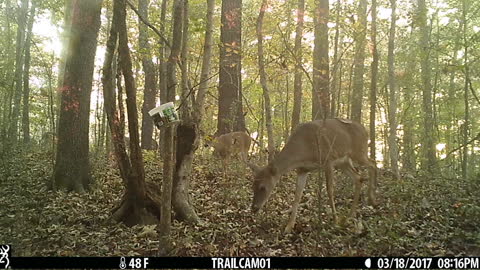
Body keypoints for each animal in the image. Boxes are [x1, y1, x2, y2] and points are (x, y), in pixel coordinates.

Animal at [248, 118, 378, 234]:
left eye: (263, 187)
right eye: (252, 186)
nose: (254, 208)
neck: (303, 150)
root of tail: (365, 130)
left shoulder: (328, 160)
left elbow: (330, 190)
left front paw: (335, 221)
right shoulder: (302, 170)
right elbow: (297, 196)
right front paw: (289, 227)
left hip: (359, 152)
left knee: (373, 163)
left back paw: (372, 199)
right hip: (343, 162)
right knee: (359, 178)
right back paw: (351, 214)